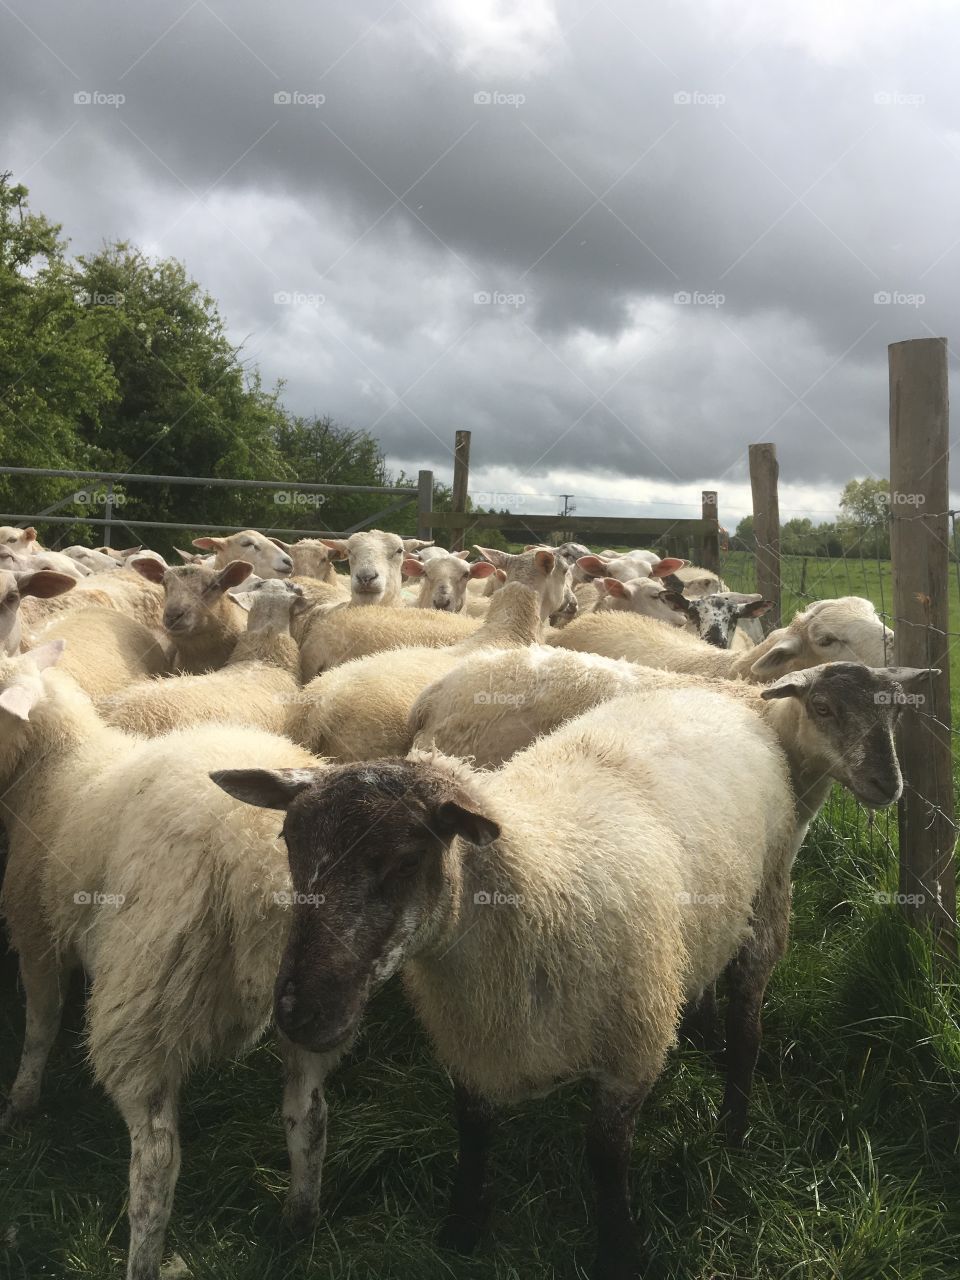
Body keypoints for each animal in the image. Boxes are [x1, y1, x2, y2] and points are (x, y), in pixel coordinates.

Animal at [0, 644, 338, 1280]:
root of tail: (260, 861)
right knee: (308, 1114)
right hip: (318, 990)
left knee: (157, 1162)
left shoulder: (37, 929)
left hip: (145, 991)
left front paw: (21, 1103)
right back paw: (299, 1220)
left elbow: (40, 1026)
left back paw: (141, 1258)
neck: (51, 765)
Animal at [216, 661, 922, 1279]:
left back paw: (734, 1128)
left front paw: (618, 1251)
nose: (299, 1013)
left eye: (406, 860)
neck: (536, 884)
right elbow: (472, 1135)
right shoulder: (472, 1042)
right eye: (288, 844)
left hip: (767, 902)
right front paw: (461, 1230)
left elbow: (605, 1162)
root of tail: (707, 691)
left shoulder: (630, 1052)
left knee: (748, 1022)